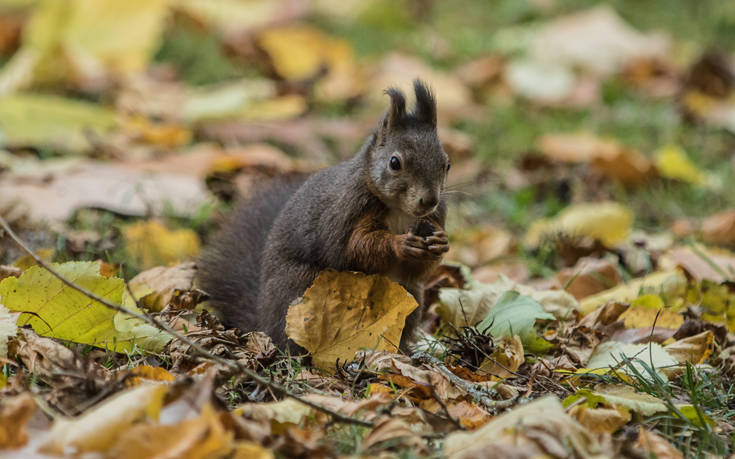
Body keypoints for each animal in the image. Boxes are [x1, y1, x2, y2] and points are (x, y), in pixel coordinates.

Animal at [198, 79, 452, 352]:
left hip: (411, 296)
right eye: (395, 163)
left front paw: (440, 242)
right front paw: (399, 243)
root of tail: (263, 322)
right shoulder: (346, 211)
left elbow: (416, 270)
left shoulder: (435, 218)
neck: (399, 209)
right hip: (300, 289)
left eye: (446, 164)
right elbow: (354, 248)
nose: (429, 200)